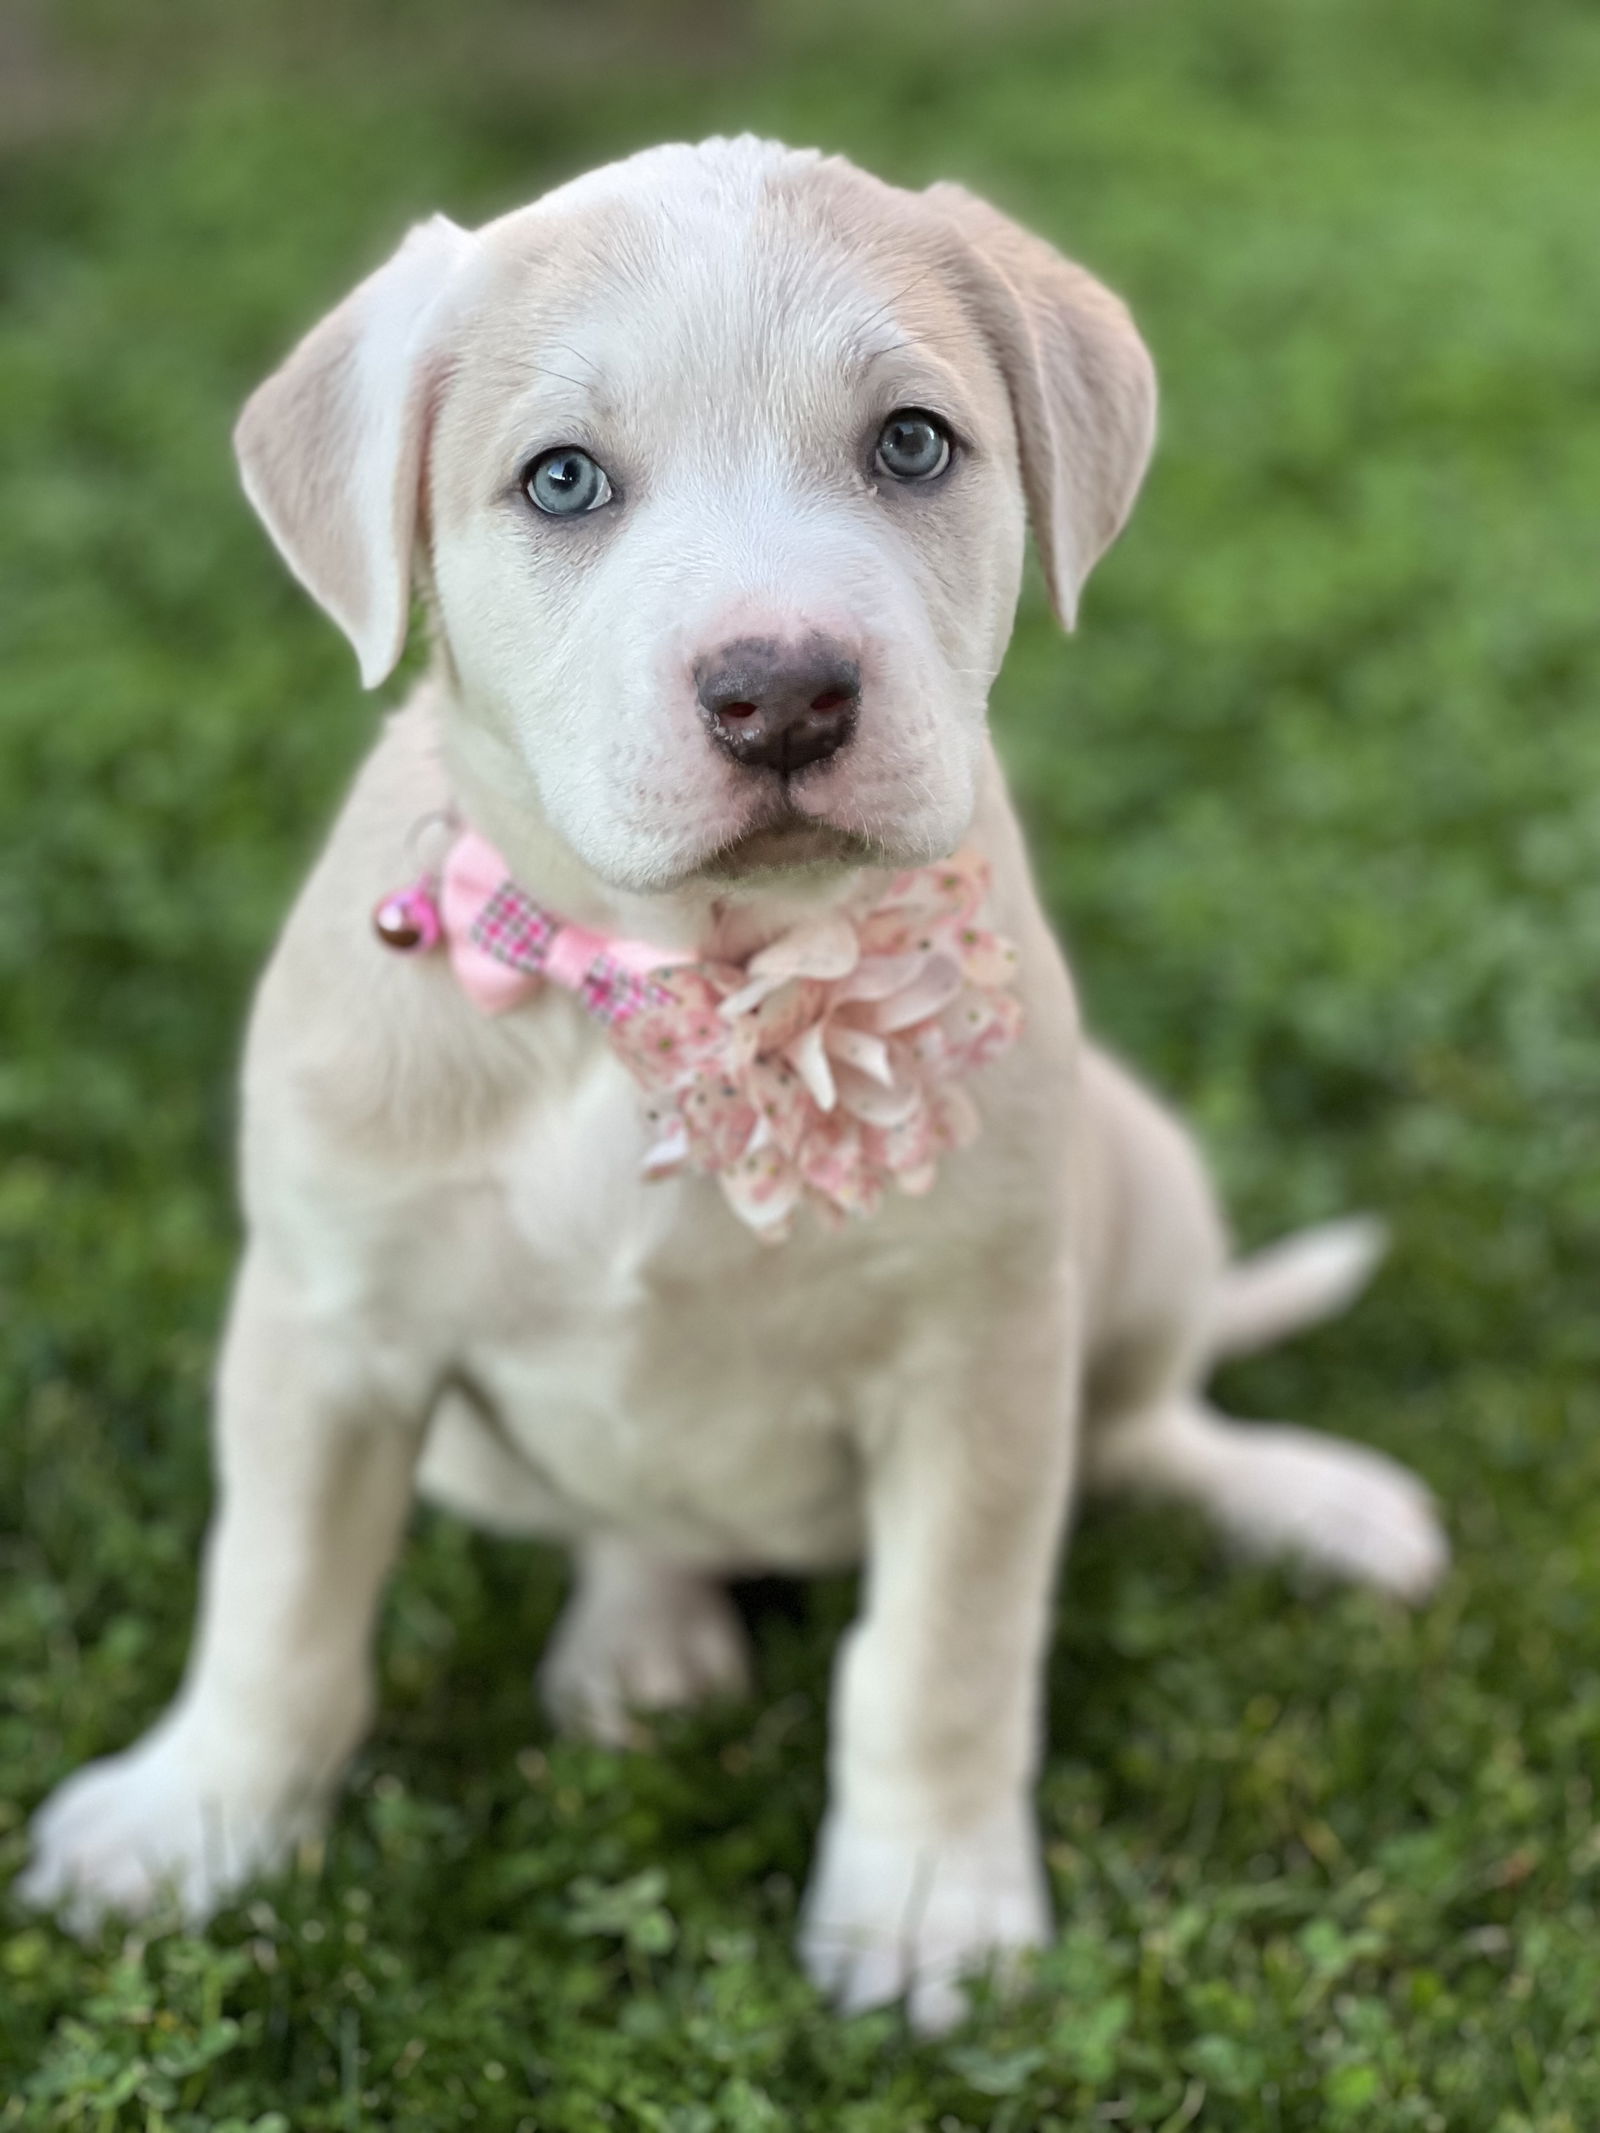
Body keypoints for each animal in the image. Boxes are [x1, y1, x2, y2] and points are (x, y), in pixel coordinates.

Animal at [21, 137, 1450, 2030]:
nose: (781, 692)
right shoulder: (326, 1333)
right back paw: (641, 1643)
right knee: (628, 1517)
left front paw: (922, 1903)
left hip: (1138, 1191)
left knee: (1148, 1420)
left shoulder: (979, 1366)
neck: (675, 991)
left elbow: (942, 1652)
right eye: (562, 480)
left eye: (912, 444)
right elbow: (274, 1607)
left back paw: (1311, 1504)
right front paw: (193, 1822)